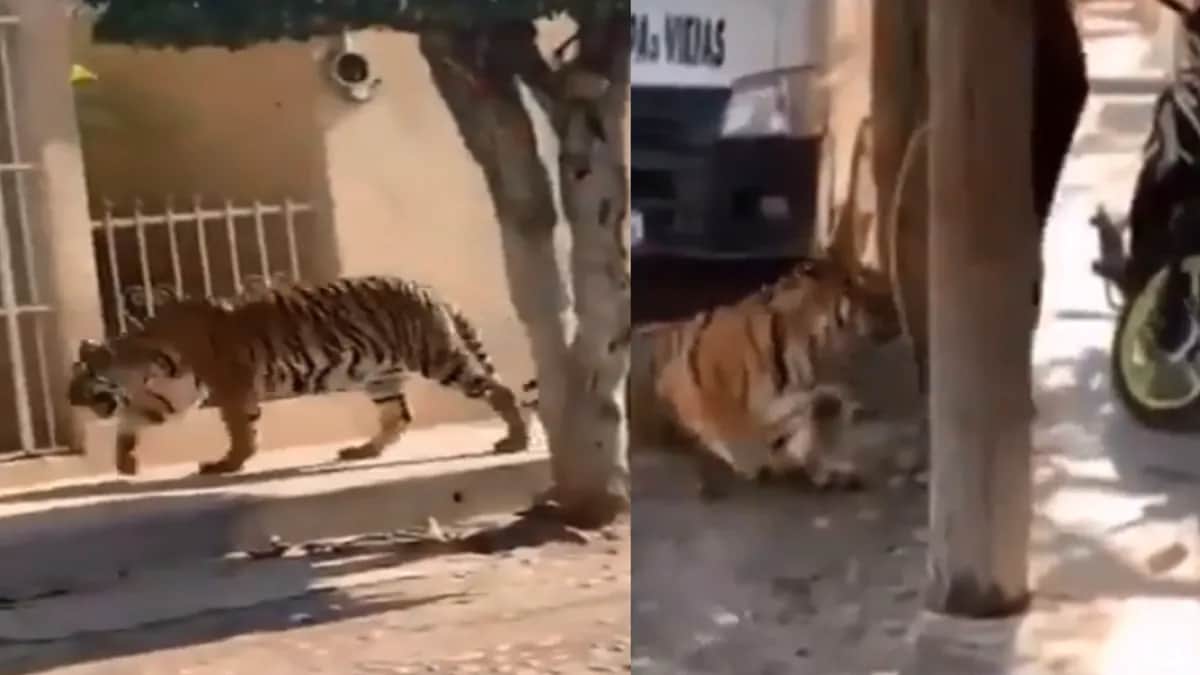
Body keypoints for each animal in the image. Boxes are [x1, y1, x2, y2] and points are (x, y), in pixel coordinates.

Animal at [67, 275, 532, 477]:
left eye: (78, 381)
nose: (70, 401)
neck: (141, 362)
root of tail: (431, 289)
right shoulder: (174, 396)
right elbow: (132, 421)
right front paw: (125, 462)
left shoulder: (229, 384)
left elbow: (240, 429)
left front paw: (228, 464)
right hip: (380, 375)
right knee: (398, 416)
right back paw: (361, 451)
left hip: (438, 357)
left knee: (499, 388)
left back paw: (516, 440)